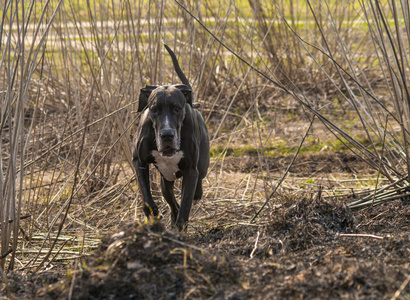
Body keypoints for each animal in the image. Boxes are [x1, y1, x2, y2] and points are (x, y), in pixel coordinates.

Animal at [133, 43, 210, 231]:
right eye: (154, 109)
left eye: (177, 108)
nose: (167, 134)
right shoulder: (139, 162)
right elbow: (146, 196)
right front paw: (154, 215)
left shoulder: (191, 172)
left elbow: (185, 206)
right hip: (165, 182)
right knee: (173, 203)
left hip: (201, 167)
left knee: (195, 191)